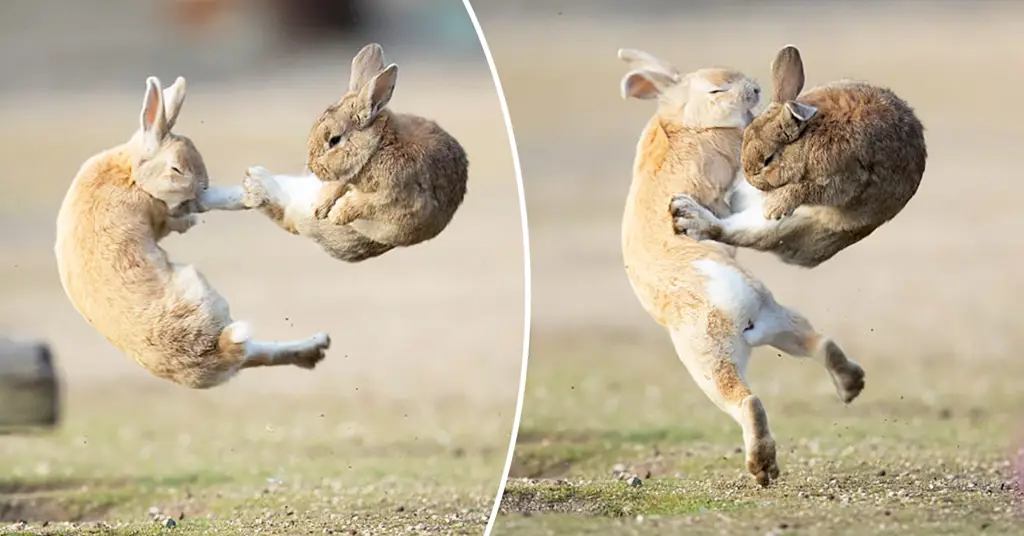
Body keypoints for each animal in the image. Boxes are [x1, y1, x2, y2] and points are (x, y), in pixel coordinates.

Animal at [55, 75, 331, 387]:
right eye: (176, 169)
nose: (201, 188)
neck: (132, 174)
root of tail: (218, 351)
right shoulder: (164, 213)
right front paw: (239, 198)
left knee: (257, 354)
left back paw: (316, 346)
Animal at [239, 42, 468, 262]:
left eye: (334, 140)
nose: (313, 168)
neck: (377, 147)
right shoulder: (345, 178)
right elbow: (336, 188)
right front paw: (321, 207)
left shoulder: (394, 196)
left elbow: (364, 204)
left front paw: (337, 215)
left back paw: (256, 184)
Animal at [614, 49, 864, 485]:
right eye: (717, 89)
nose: (756, 89)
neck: (686, 120)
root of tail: (721, 286)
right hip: (731, 347)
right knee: (764, 388)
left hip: (750, 335)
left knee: (786, 371)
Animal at [671, 44, 929, 268]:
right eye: (746, 138)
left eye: (768, 160)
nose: (752, 183)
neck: (806, 139)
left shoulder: (845, 178)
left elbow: (807, 189)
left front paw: (774, 207)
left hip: (790, 224)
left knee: (732, 231)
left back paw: (687, 214)